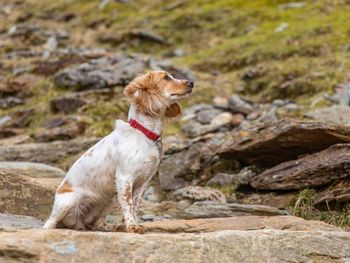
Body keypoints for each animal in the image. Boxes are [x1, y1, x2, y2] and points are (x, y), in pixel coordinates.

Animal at [43, 71, 194, 234]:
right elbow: (128, 205)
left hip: (110, 198)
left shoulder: (144, 182)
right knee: (50, 222)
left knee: (97, 223)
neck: (144, 133)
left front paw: (131, 225)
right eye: (166, 77)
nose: (191, 82)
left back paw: (114, 227)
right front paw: (132, 226)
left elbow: (135, 205)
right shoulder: (124, 178)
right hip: (69, 200)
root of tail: (77, 223)